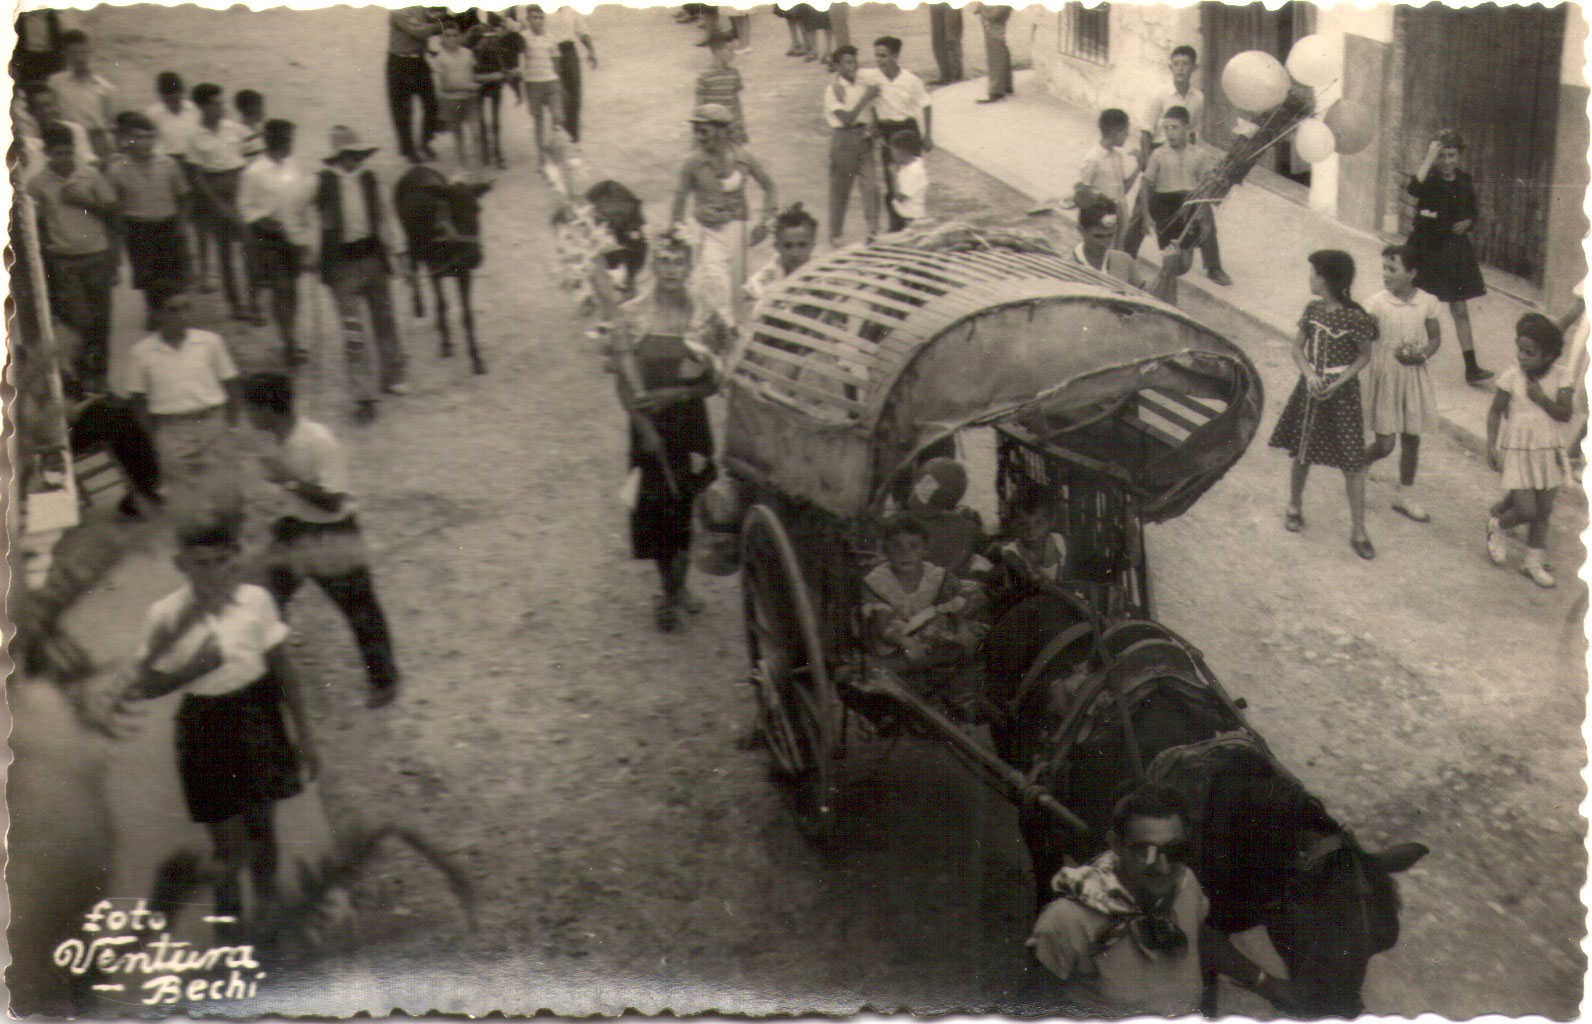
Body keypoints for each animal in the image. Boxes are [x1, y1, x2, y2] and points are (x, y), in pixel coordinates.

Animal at [394, 165, 491, 375]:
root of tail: (416, 167)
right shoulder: (436, 270)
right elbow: (442, 304)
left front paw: (476, 358)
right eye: (453, 210)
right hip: (410, 240)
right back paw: (419, 306)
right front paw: (446, 344)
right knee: (413, 267)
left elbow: (467, 314)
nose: (474, 257)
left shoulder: (464, 273)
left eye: (478, 209)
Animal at [982, 589, 1428, 1018]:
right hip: (1029, 784)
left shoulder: (1214, 918)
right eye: (1311, 928)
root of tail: (1040, 593)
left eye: (1384, 940)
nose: (1344, 1008)